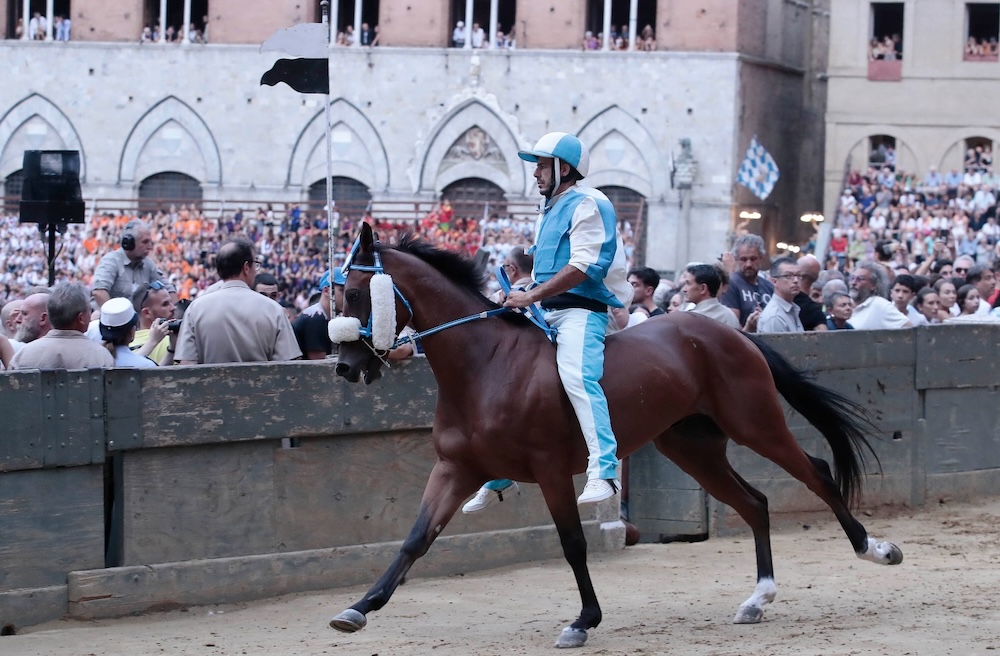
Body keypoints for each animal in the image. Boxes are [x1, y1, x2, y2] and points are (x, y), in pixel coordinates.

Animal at [330, 224, 908, 644]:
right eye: (334, 295)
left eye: (356, 293)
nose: (346, 366)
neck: (487, 365)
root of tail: (726, 332)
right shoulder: (456, 468)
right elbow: (415, 539)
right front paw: (359, 608)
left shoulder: (550, 470)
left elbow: (573, 543)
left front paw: (584, 619)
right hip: (692, 448)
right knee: (755, 503)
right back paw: (758, 598)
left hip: (755, 424)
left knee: (817, 474)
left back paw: (874, 549)